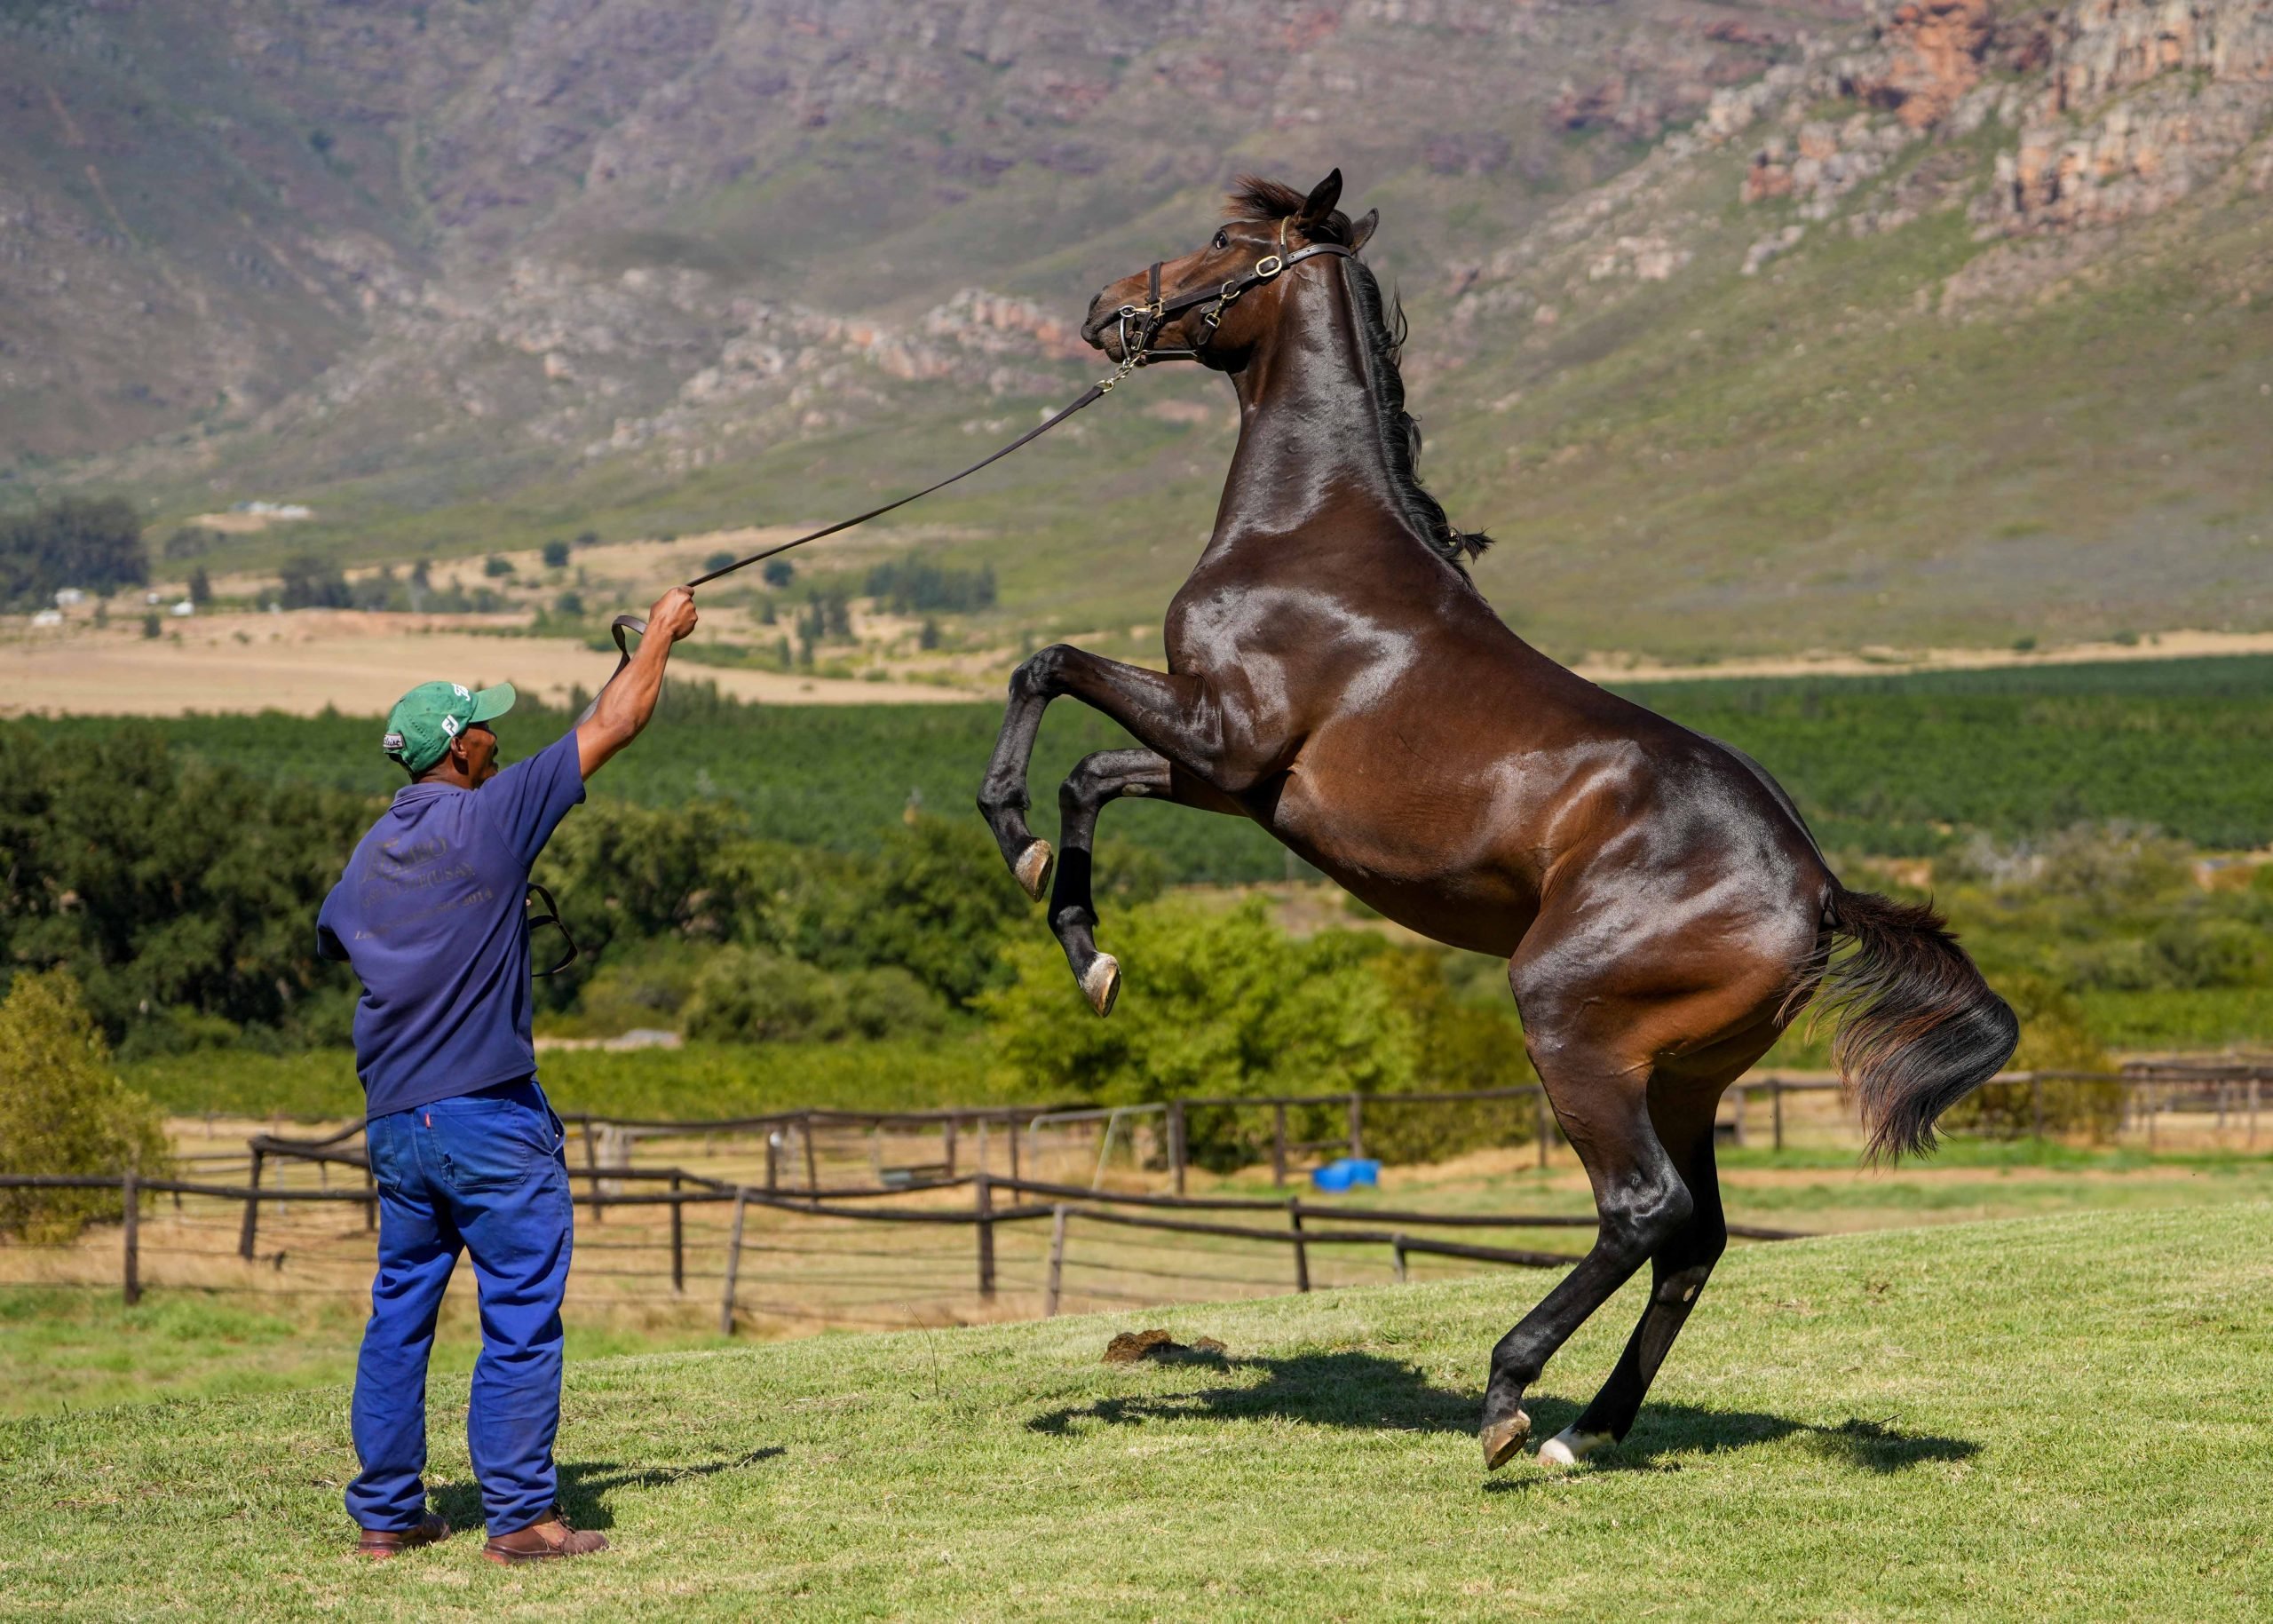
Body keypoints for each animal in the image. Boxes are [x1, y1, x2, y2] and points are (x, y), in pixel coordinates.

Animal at [972, 167, 2009, 1464]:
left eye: (1221, 238)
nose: (1107, 308)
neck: (1309, 534)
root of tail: (1817, 888)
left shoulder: (1224, 735)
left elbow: (1045, 667)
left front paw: (1011, 837)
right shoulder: (1232, 779)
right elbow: (1087, 778)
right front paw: (1087, 950)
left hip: (1573, 1027)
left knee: (1643, 1209)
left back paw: (1512, 1401)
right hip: (1685, 1075)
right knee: (1696, 1237)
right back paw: (1589, 1428)